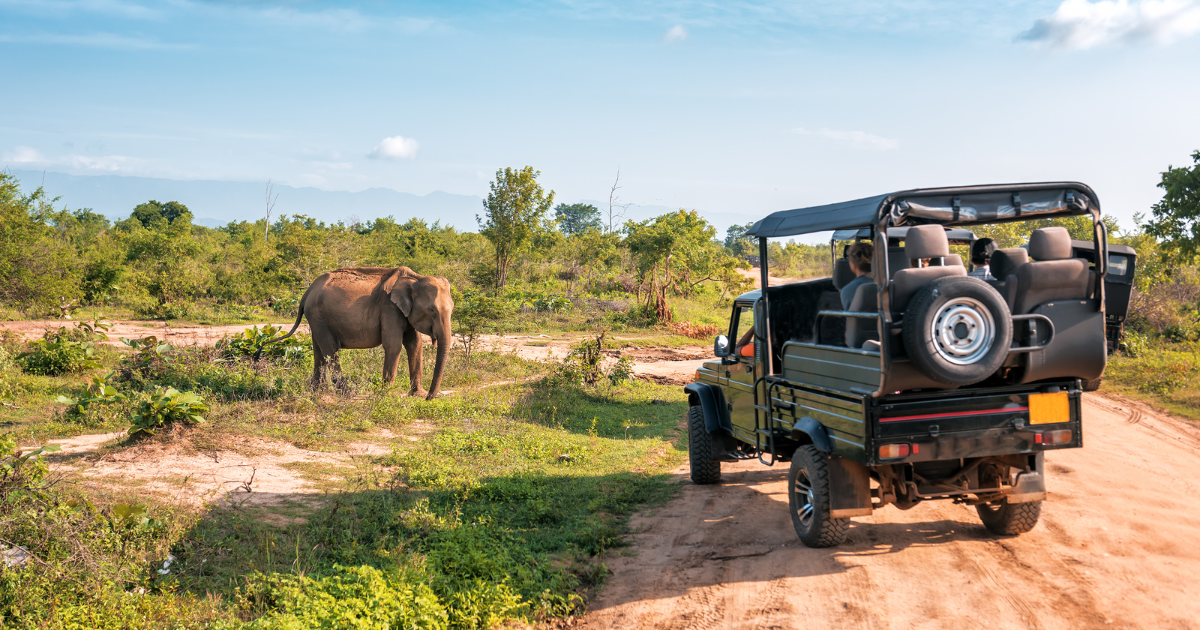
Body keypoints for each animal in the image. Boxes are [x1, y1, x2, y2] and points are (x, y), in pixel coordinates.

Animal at [260, 265, 451, 398]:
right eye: (432, 310)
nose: (429, 397)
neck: (415, 278)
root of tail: (306, 293)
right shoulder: (389, 308)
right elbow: (394, 345)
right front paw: (386, 395)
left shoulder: (404, 313)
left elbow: (414, 345)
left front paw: (417, 394)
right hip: (318, 316)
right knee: (331, 349)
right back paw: (347, 393)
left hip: (316, 318)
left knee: (318, 351)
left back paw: (317, 392)